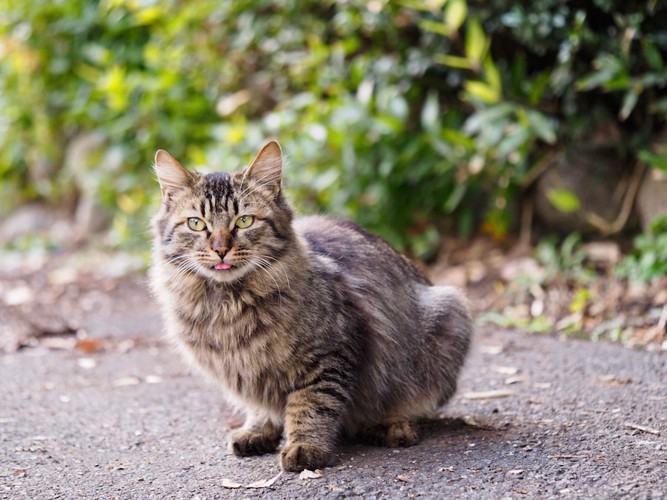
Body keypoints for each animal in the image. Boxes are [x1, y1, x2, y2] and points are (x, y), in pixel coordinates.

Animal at [151, 141, 472, 472]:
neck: (227, 305)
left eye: (244, 221)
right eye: (196, 224)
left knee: (412, 403)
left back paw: (391, 424)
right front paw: (259, 430)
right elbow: (259, 406)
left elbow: (311, 405)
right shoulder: (245, 372)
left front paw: (306, 446)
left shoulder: (329, 355)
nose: (220, 249)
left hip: (448, 314)